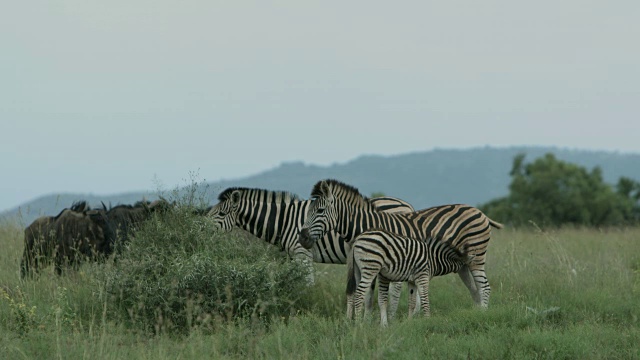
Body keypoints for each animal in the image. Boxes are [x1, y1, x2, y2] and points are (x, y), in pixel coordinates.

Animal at [205, 187, 416, 316]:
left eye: (221, 214)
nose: (201, 230)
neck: (284, 221)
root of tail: (406, 205)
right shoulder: (293, 256)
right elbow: (295, 284)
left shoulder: (302, 253)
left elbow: (306, 285)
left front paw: (306, 307)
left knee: (397, 286)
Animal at [300, 179, 504, 308]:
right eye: (308, 210)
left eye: (319, 211)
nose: (302, 237)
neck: (367, 225)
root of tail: (480, 212)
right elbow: (365, 294)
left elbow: (381, 295)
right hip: (462, 264)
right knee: (475, 290)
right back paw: (477, 312)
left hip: (476, 257)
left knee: (484, 287)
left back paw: (483, 314)